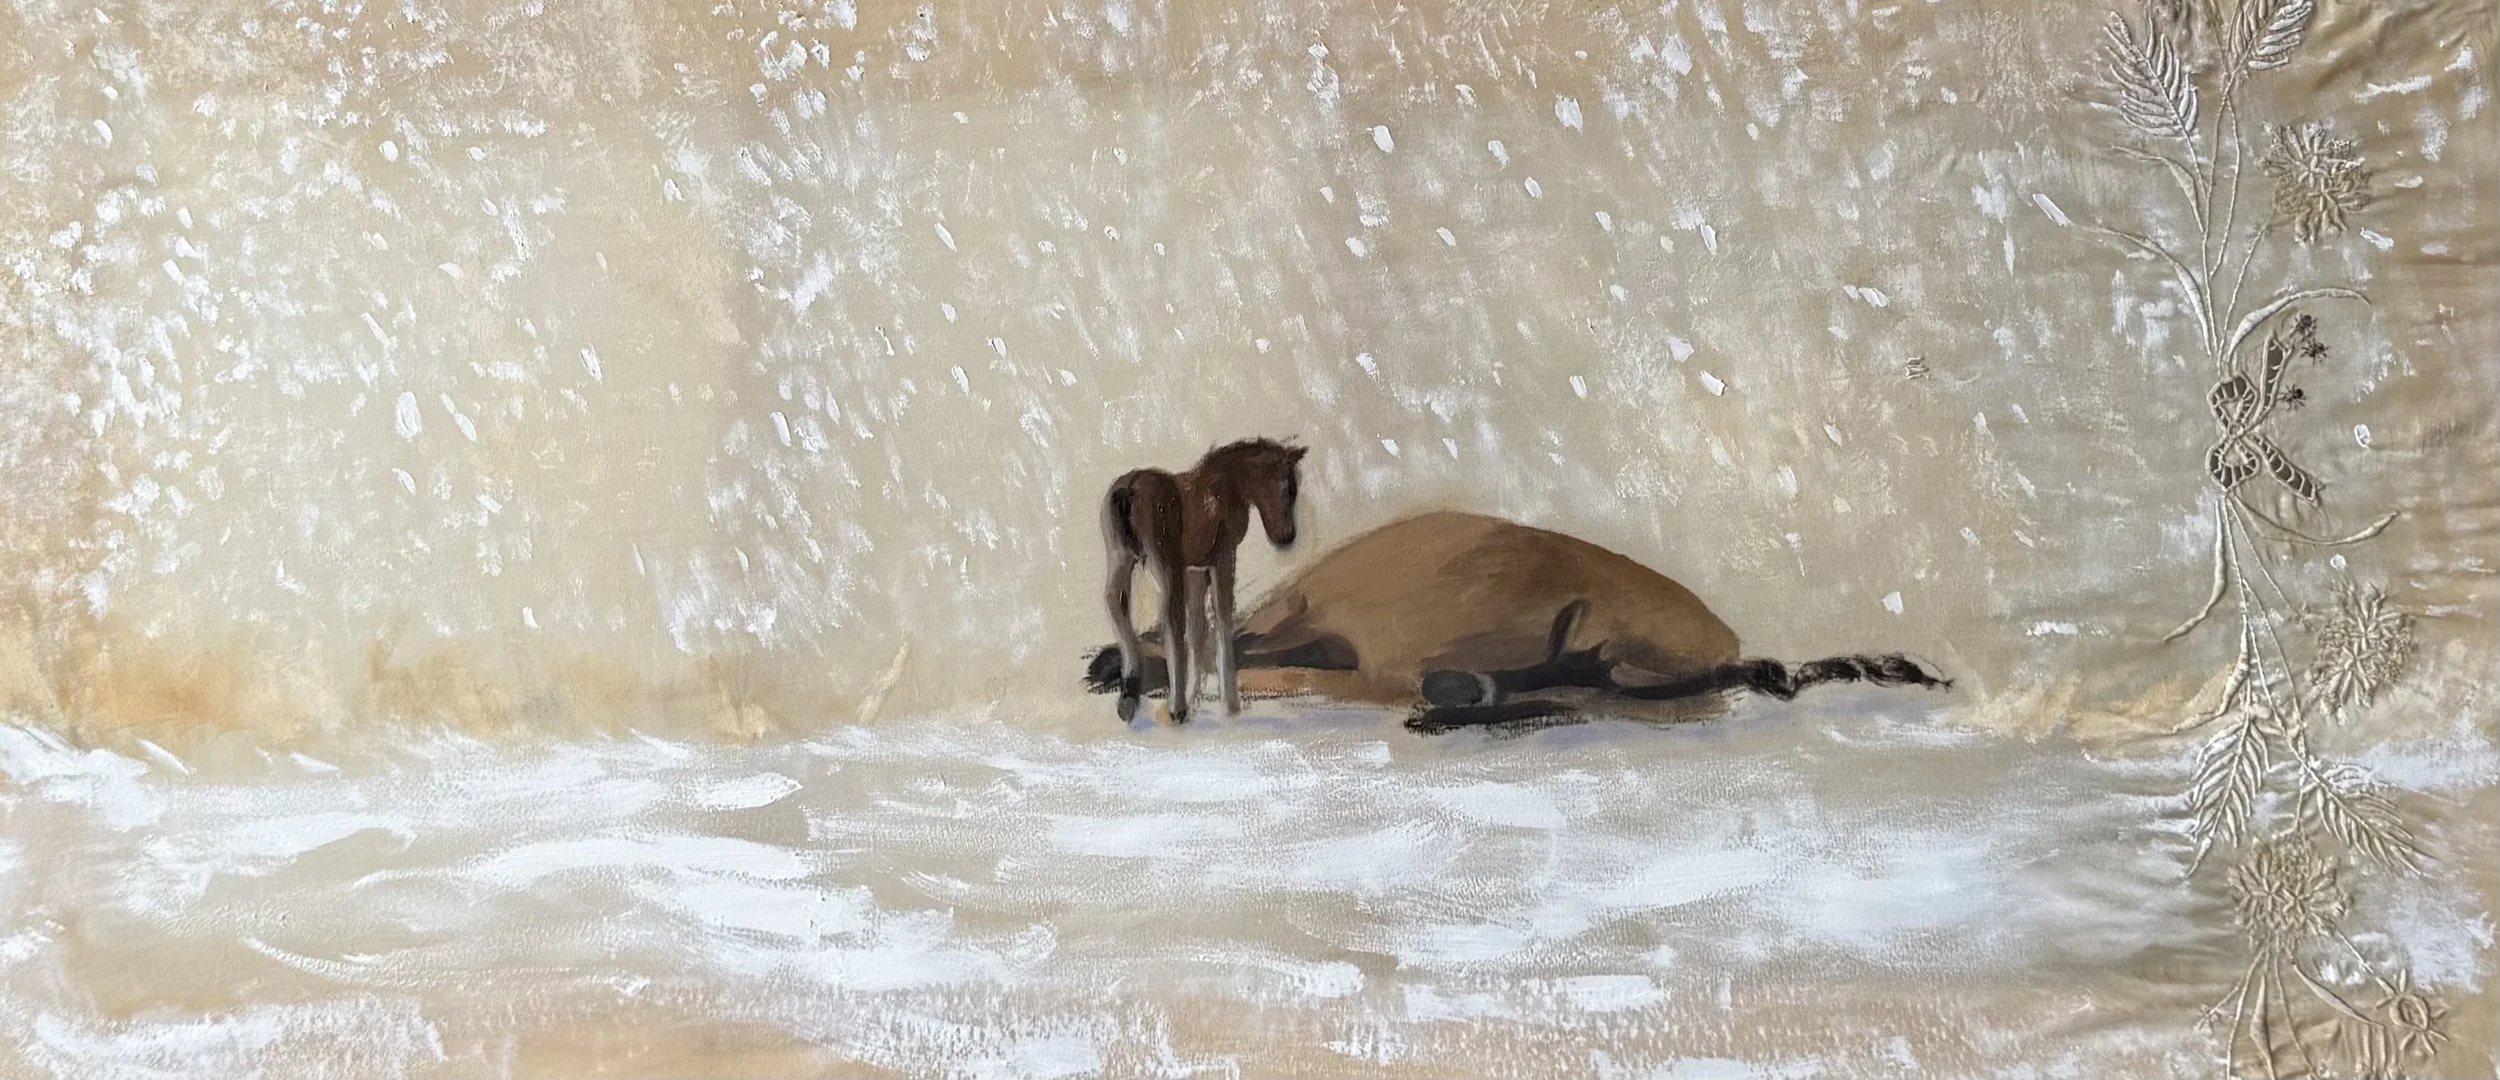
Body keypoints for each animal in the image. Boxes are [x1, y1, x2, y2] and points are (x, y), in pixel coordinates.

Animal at [1101, 437, 1309, 723]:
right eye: (1290, 489)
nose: (1286, 537)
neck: (1228, 485)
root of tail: (1129, 489)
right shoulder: (1223, 557)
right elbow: (1222, 616)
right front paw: (1229, 704)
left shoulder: (1195, 570)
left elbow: (1197, 626)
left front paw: (1195, 696)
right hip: (1163, 565)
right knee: (1170, 619)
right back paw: (1176, 707)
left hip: (1120, 558)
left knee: (1117, 604)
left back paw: (1129, 699)